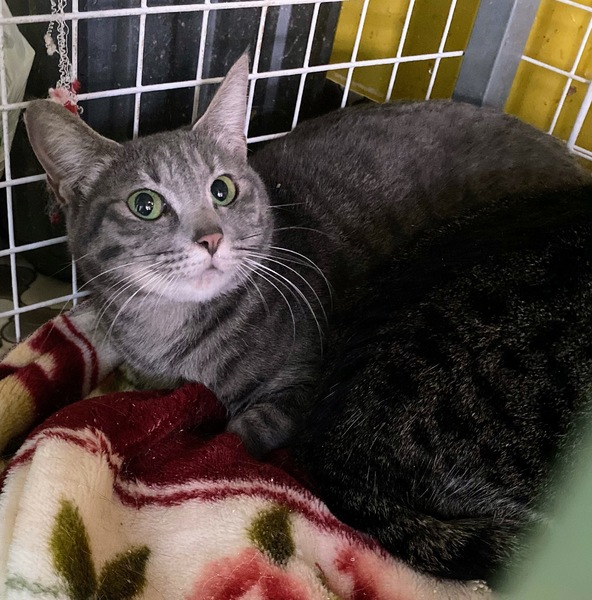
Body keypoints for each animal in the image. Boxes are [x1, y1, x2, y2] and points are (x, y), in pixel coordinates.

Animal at [24, 54, 590, 459]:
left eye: (223, 190)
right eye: (146, 205)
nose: (211, 238)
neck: (169, 336)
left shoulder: (301, 381)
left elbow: (235, 435)